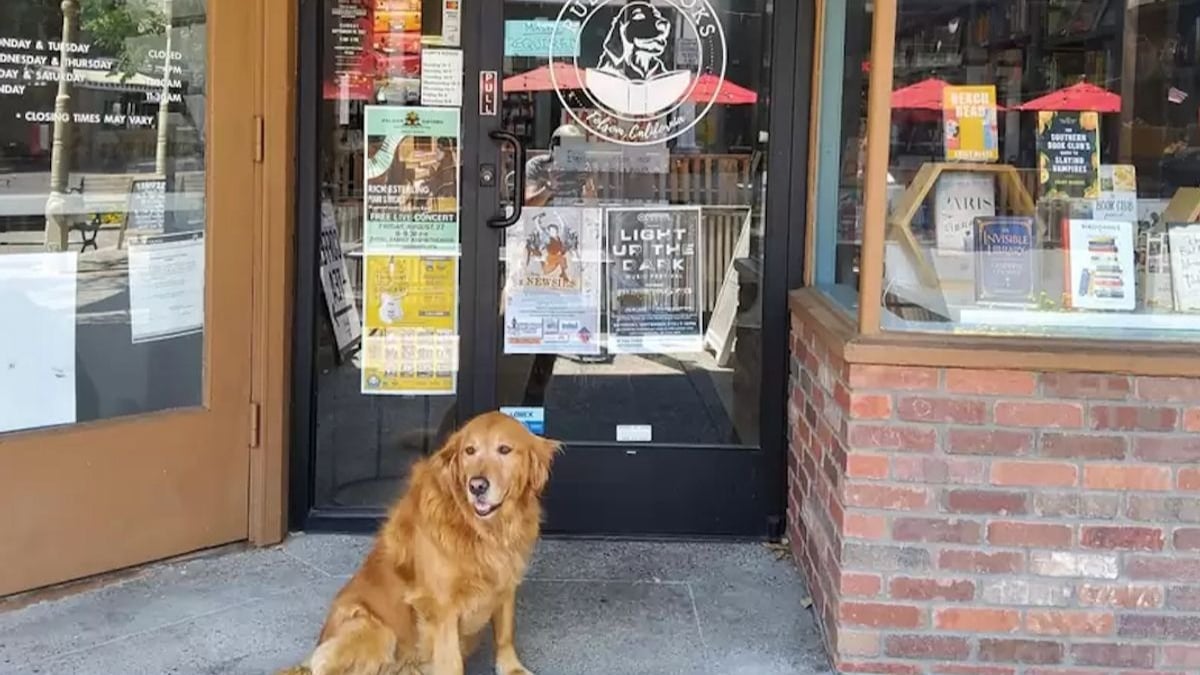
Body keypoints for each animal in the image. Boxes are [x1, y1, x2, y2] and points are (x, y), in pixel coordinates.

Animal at [278, 410, 559, 672]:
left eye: (505, 450)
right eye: (469, 450)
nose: (477, 486)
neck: (479, 528)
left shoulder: (506, 582)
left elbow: (504, 635)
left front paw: (512, 668)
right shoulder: (442, 606)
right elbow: (451, 661)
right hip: (375, 630)